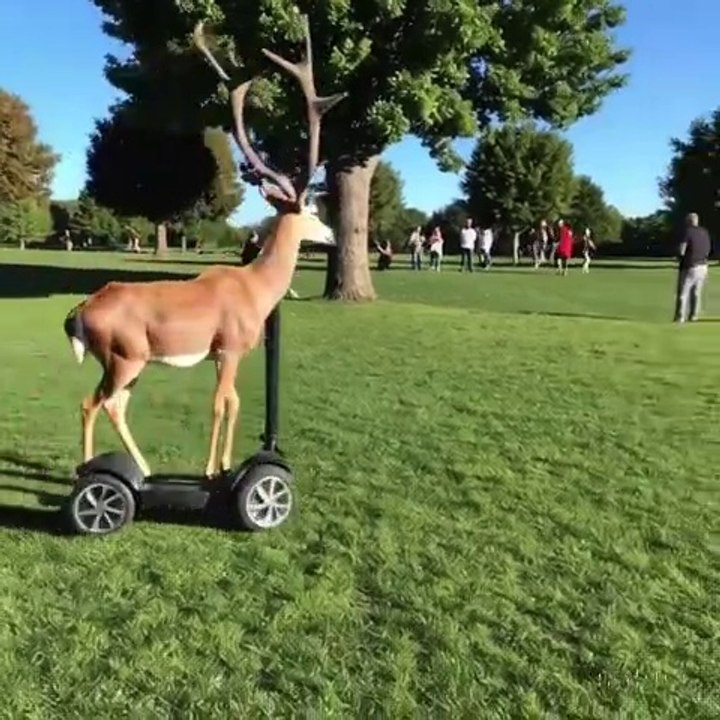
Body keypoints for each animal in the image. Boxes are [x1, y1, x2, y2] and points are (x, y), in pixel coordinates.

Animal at [63, 17, 345, 478]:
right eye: (311, 211)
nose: (334, 235)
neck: (256, 289)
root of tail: (78, 314)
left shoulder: (223, 355)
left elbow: (234, 403)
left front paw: (228, 463)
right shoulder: (229, 348)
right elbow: (218, 404)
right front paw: (212, 471)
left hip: (130, 361)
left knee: (116, 406)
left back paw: (144, 468)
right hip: (123, 356)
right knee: (92, 403)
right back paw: (90, 471)